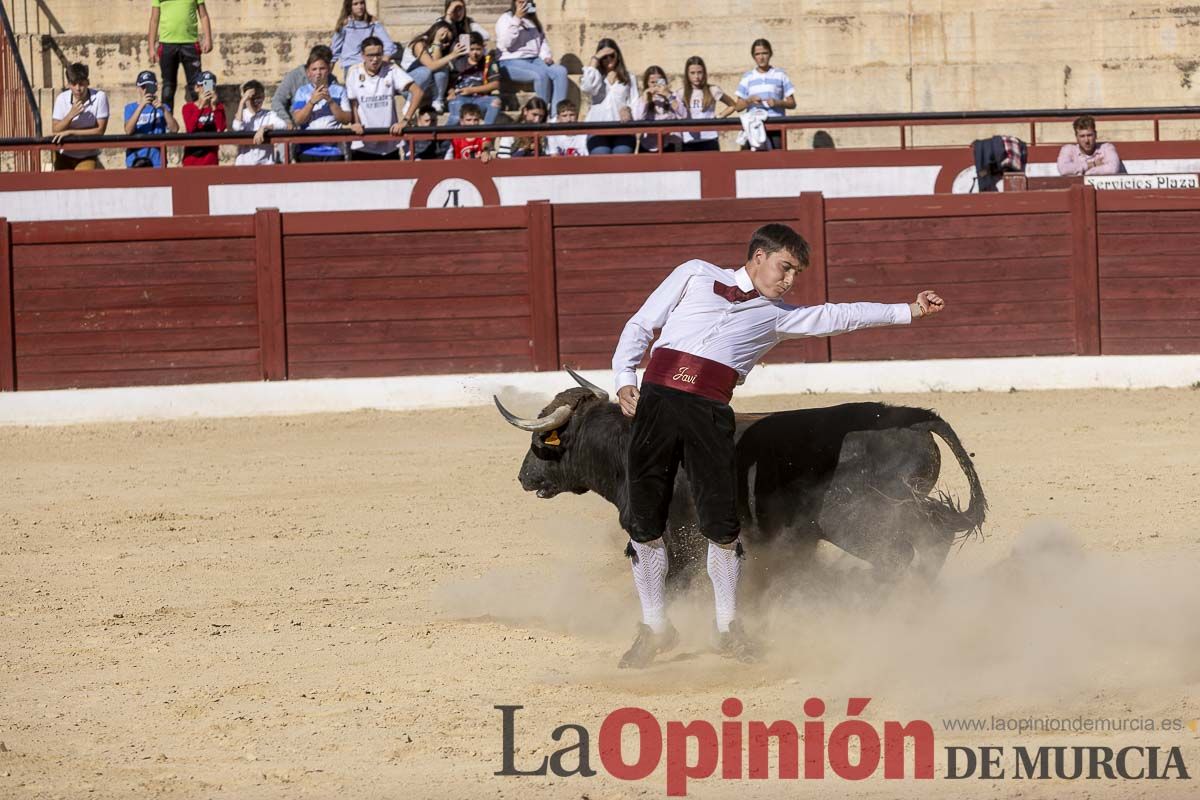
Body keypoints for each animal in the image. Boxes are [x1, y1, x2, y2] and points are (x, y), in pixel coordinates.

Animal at [496, 371, 984, 587]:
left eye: (540, 439)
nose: (522, 477)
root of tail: (912, 417)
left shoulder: (676, 535)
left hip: (856, 520)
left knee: (899, 554)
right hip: (902, 506)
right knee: (935, 535)